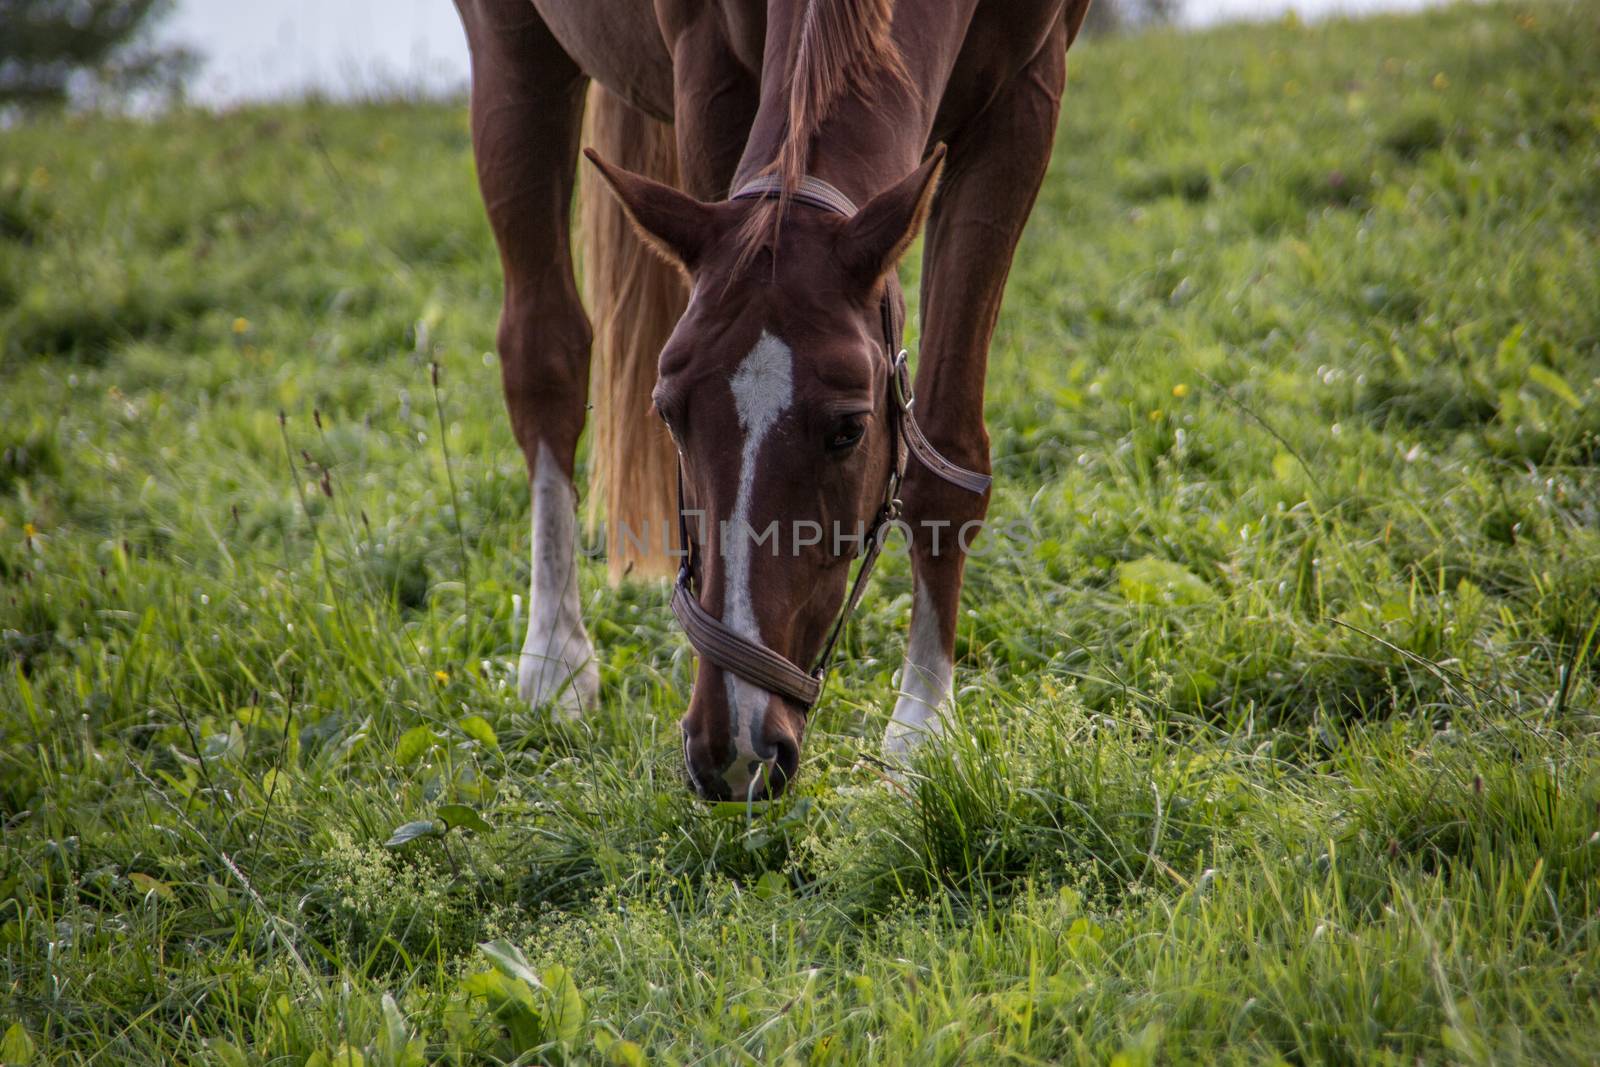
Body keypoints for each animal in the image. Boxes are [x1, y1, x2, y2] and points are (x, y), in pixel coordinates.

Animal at [457, 0, 1094, 799]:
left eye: (849, 430)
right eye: (669, 413)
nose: (732, 748)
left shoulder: (1026, 95)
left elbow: (946, 454)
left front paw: (922, 730)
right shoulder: (710, 73)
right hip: (512, 49)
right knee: (543, 358)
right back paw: (555, 662)